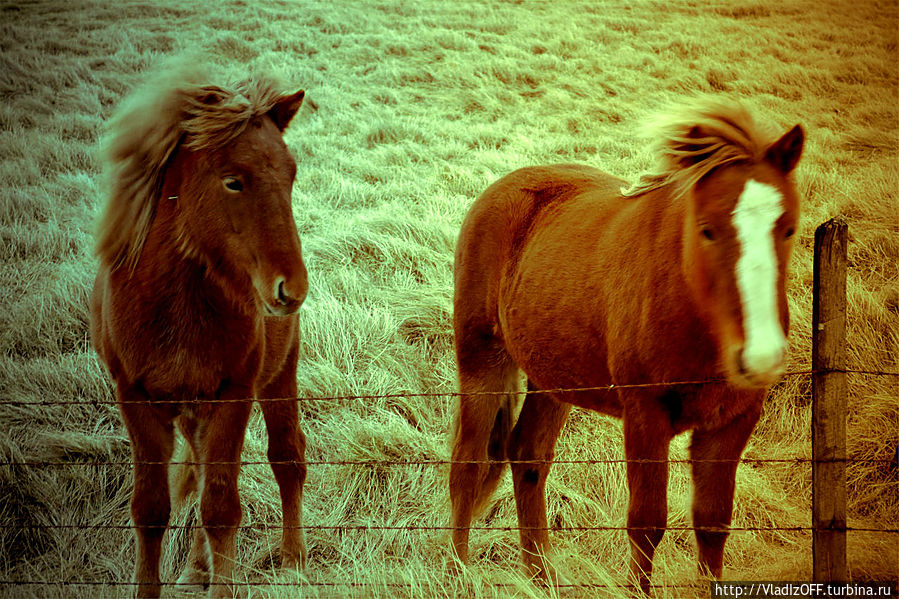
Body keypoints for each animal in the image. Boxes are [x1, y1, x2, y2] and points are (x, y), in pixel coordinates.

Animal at [91, 67, 310, 599]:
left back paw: (293, 557)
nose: (291, 288)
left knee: (287, 458)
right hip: (192, 414)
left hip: (278, 378)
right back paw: (194, 569)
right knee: (195, 471)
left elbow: (221, 507)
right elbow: (153, 509)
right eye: (233, 182)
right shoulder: (137, 401)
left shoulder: (234, 396)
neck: (175, 308)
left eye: (291, 175)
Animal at [454, 98, 804, 592]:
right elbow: (646, 523)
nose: (760, 357)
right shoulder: (645, 416)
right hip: (482, 360)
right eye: (707, 229)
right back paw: (456, 571)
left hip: (552, 379)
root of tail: (500, 189)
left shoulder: (732, 422)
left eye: (788, 228)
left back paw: (542, 576)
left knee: (527, 456)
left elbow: (712, 523)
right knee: (467, 462)